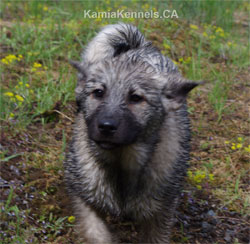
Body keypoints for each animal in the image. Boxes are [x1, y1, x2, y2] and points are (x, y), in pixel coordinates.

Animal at [65, 22, 199, 242]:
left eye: (136, 98)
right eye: (98, 92)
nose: (106, 126)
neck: (122, 162)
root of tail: (141, 46)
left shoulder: (161, 212)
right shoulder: (83, 196)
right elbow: (96, 233)